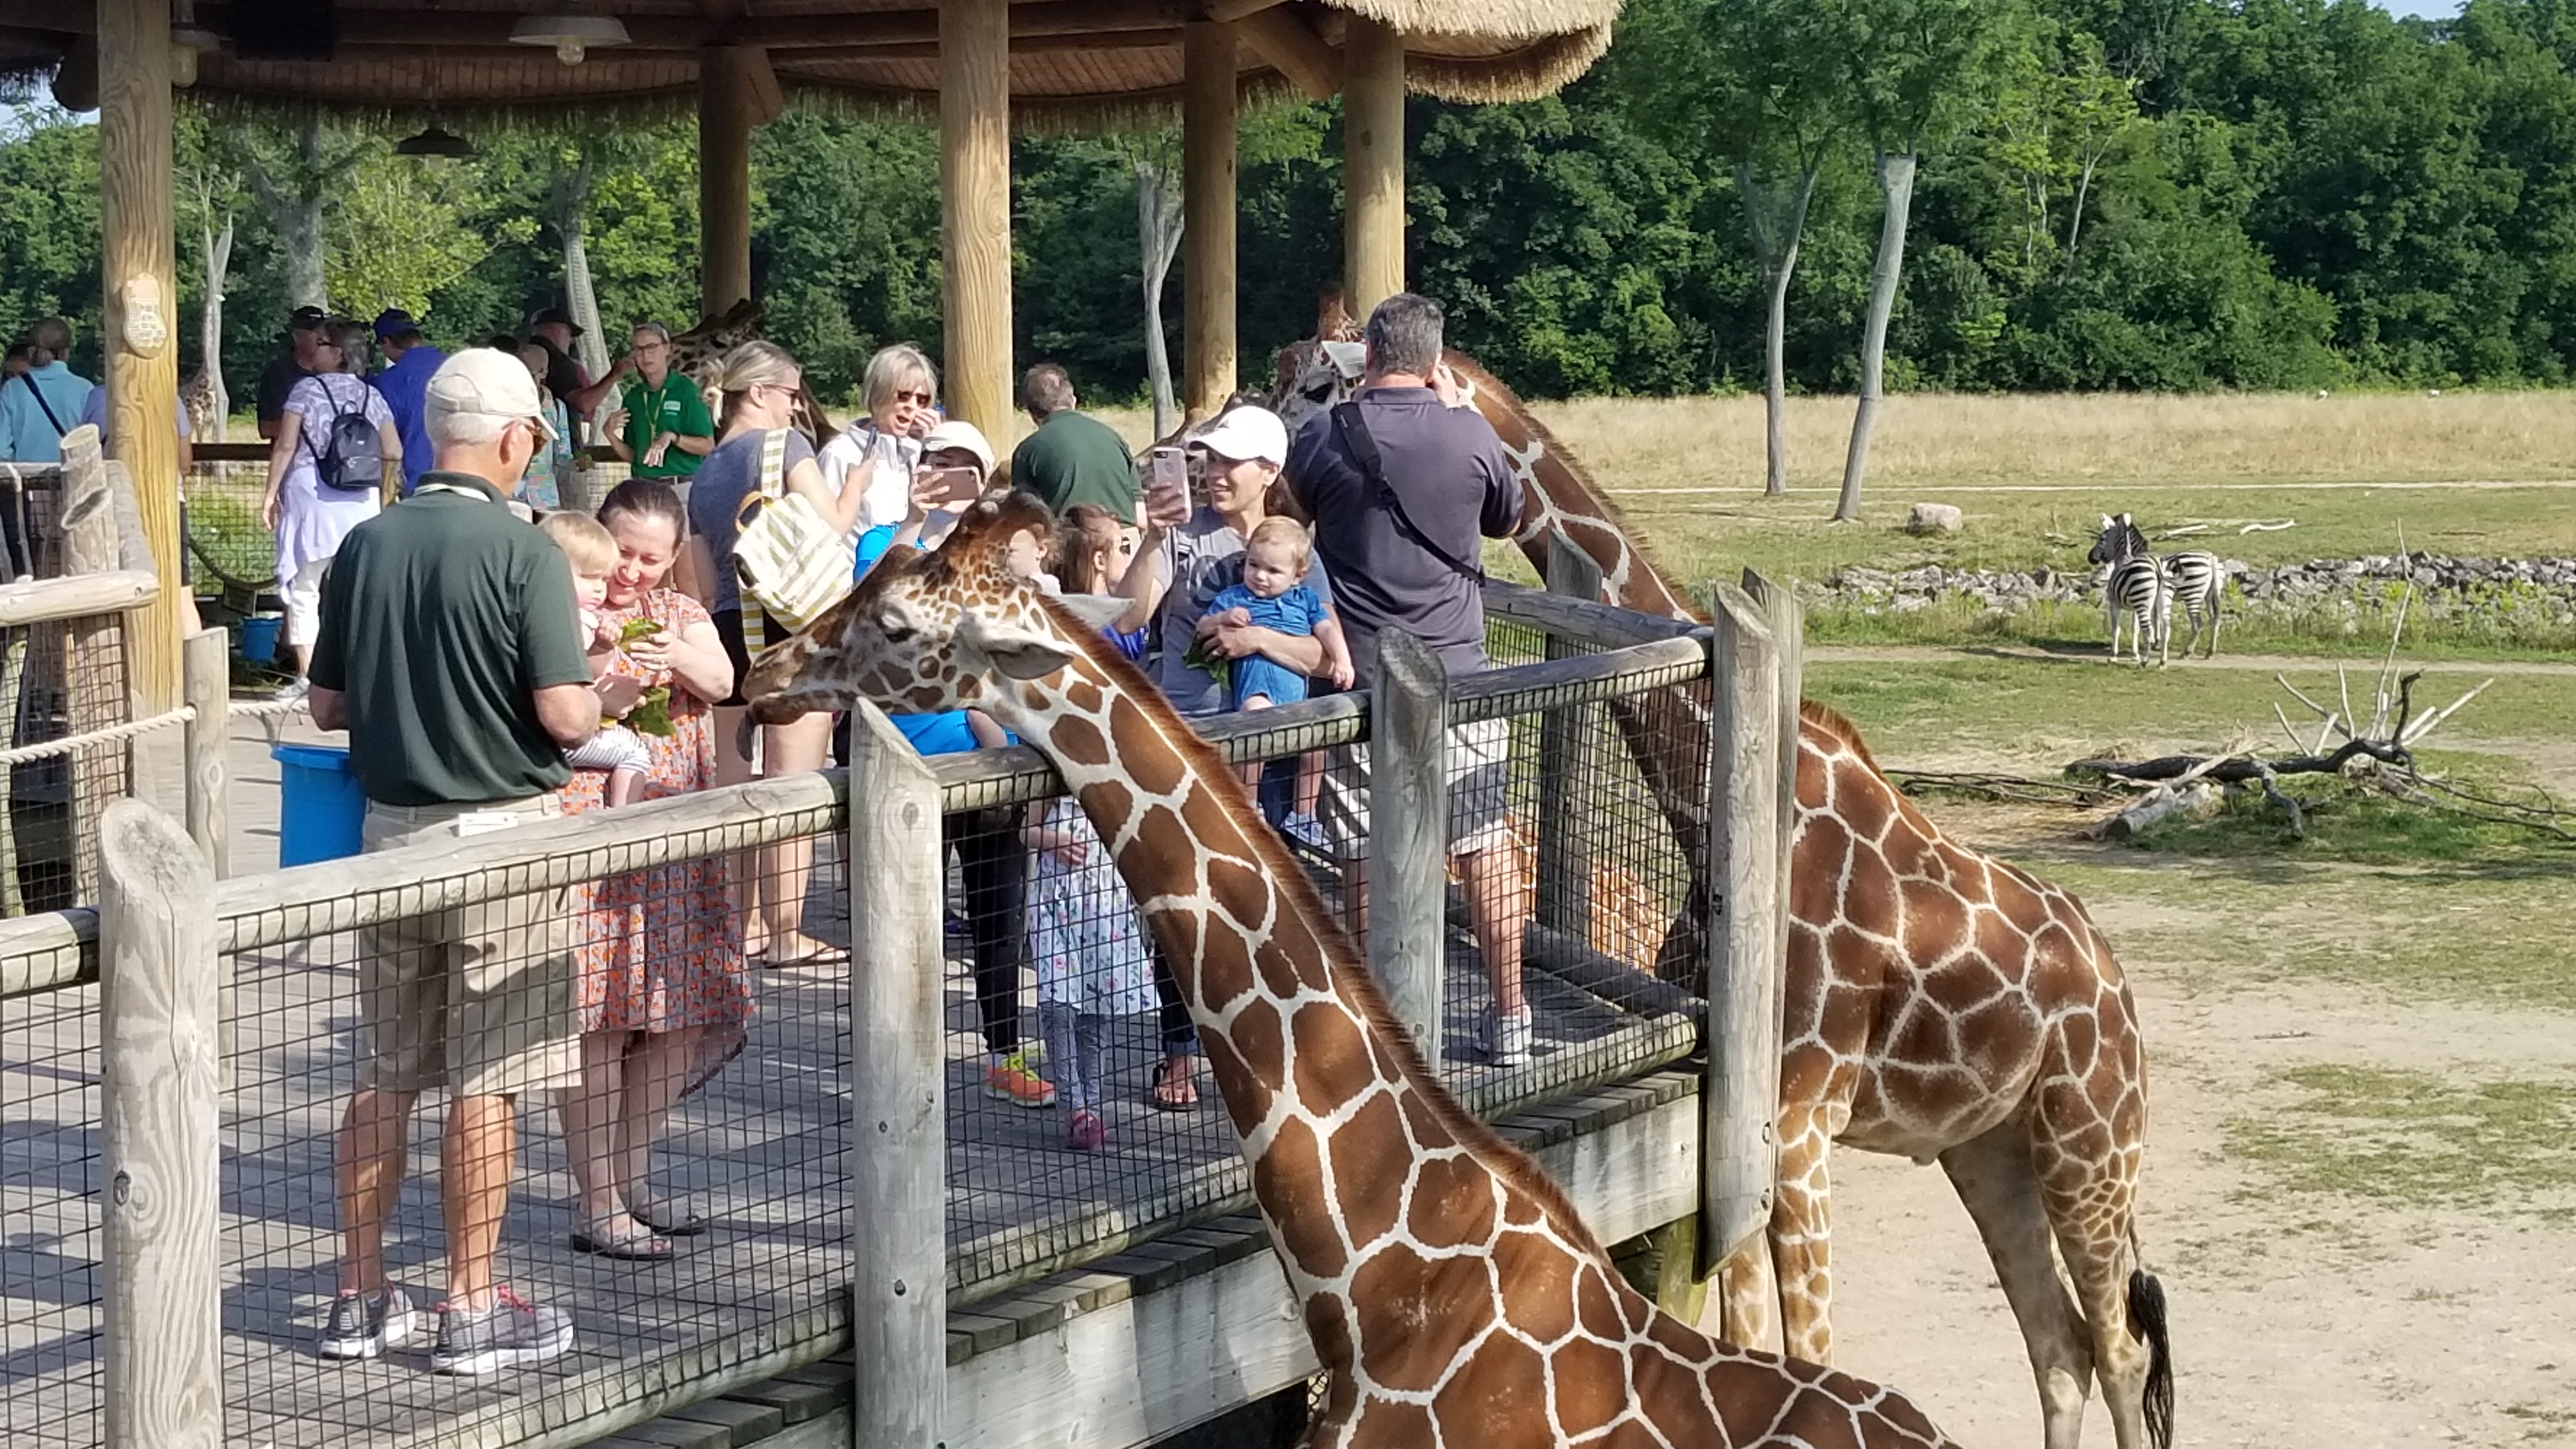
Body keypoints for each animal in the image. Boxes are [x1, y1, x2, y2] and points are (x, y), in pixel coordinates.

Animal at [1272, 297, 2176, 1449]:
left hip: (2091, 1137)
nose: (1239, 475)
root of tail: (2117, 989)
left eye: (1314, 385)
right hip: (1990, 1145)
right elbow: (1750, 1348)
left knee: (2118, 1349)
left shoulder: (1798, 1129)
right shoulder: (1736, 1134)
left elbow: (1812, 1355)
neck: (1709, 810)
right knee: (2058, 1348)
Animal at [2092, 513, 2224, 659]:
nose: (2090, 558)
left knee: (2198, 624)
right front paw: (2156, 642)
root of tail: (2210, 559)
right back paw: (2210, 651)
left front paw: (2154, 642)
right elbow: (2157, 618)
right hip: (2209, 594)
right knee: (2214, 619)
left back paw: (2187, 652)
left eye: (2101, 538)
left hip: (2192, 594)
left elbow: (2152, 619)